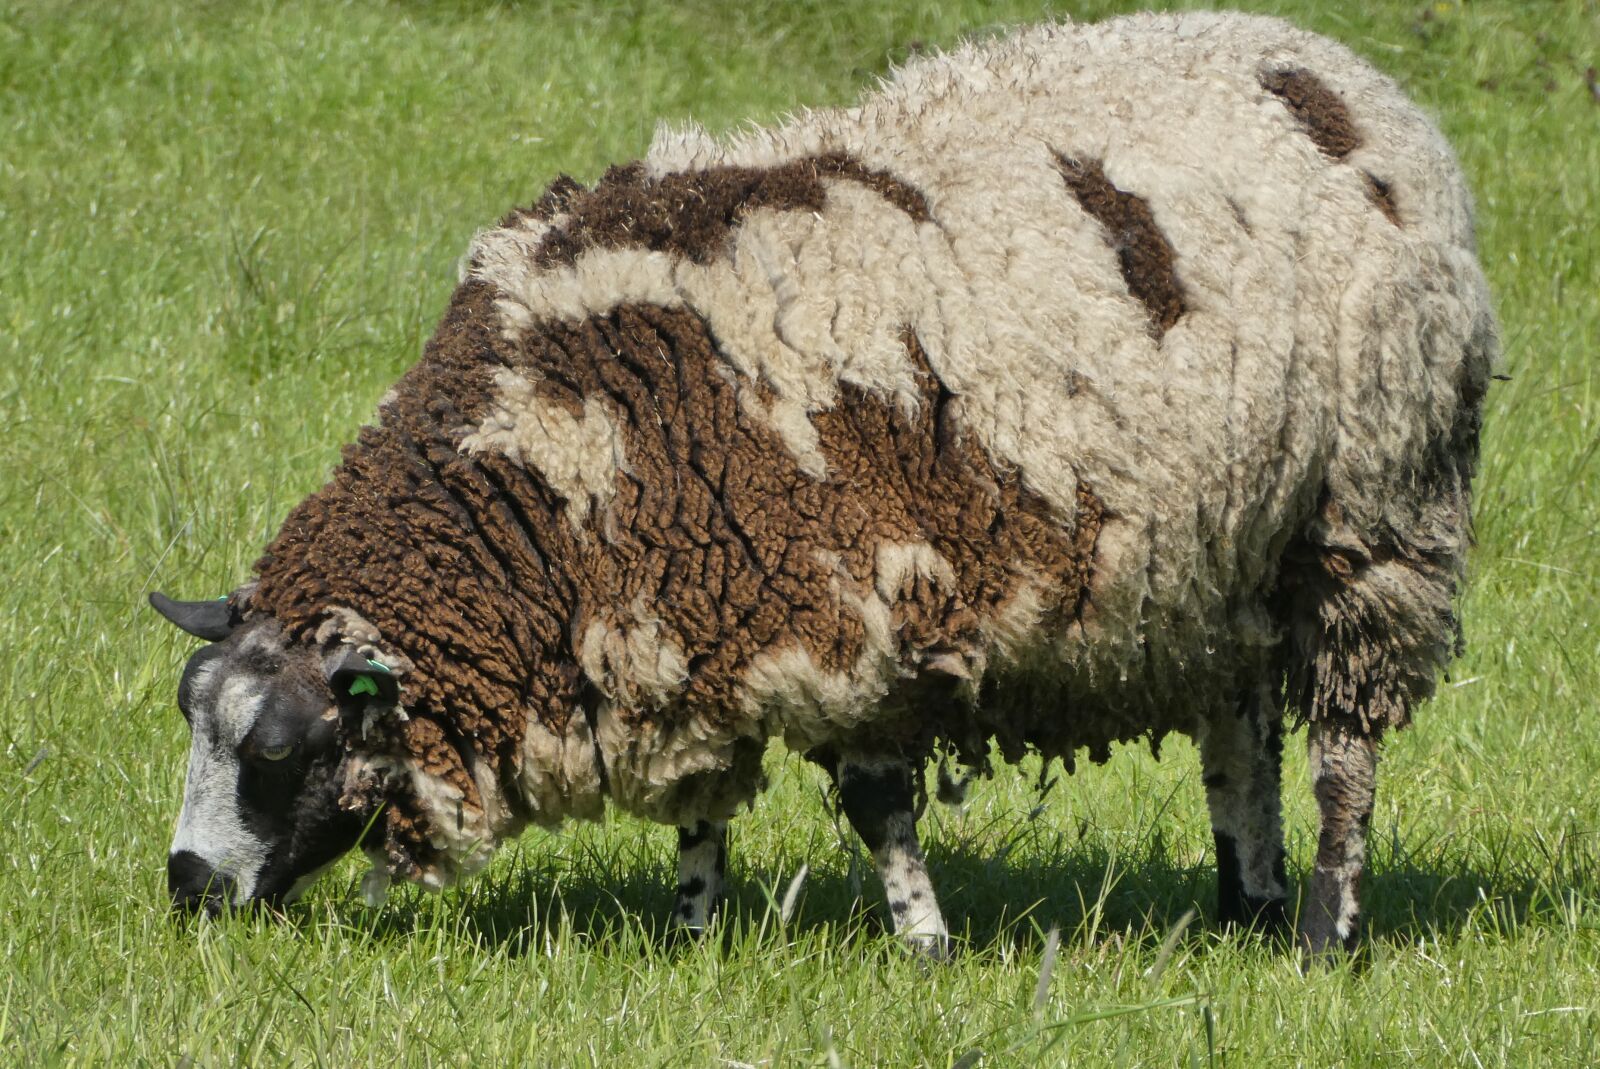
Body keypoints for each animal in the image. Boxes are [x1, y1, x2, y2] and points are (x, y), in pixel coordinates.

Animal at [151, 10, 1496, 957]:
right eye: (192, 719)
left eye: (279, 748)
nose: (188, 887)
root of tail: (1354, 83)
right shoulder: (682, 615)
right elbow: (703, 807)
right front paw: (694, 937)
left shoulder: (852, 609)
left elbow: (876, 797)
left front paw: (925, 947)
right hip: (1227, 549)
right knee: (1242, 725)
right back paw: (1245, 898)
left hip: (1371, 512)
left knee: (1343, 749)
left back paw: (1322, 929)